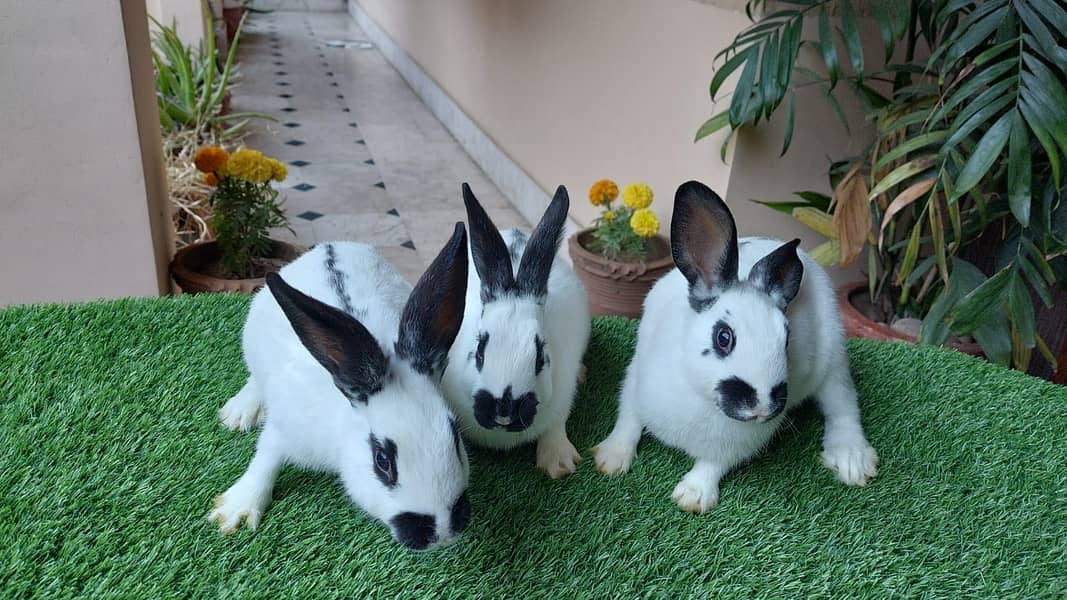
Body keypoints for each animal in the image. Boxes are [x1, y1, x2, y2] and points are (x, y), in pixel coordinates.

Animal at [208, 224, 472, 550]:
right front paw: (236, 511)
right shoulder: (287, 428)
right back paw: (239, 414)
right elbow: (265, 458)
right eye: (382, 460)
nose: (441, 534)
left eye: (454, 436)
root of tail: (330, 246)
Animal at [441, 183, 591, 479]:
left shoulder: (563, 394)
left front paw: (558, 463)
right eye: (479, 352)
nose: (504, 412)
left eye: (540, 358)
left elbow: (556, 424)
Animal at [592, 180, 878, 512]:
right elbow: (628, 420)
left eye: (787, 339)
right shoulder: (635, 380)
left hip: (833, 364)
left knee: (842, 406)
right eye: (723, 337)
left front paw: (692, 497)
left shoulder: (734, 447)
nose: (763, 406)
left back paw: (851, 461)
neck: (701, 397)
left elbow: (712, 465)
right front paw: (610, 459)